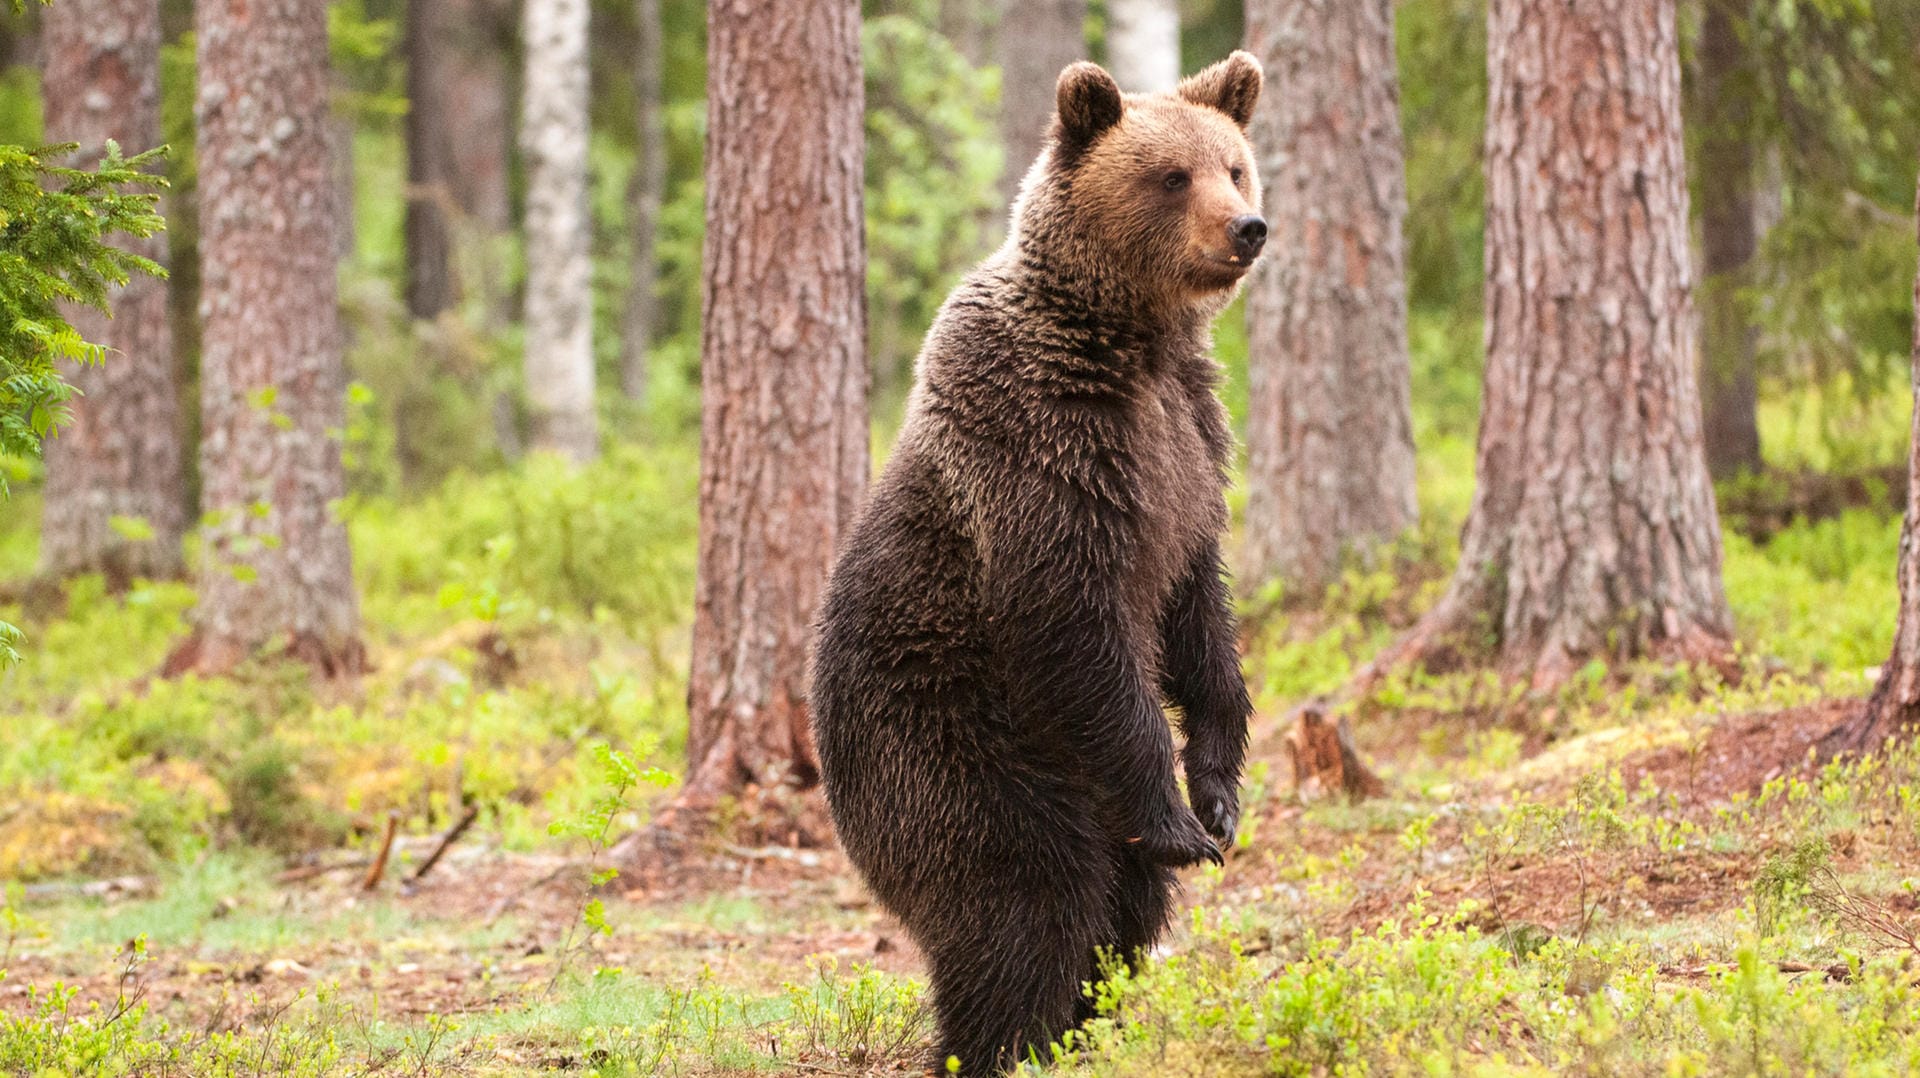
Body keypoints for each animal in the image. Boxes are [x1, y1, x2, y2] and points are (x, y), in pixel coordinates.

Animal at [806, 52, 1259, 1076]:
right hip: (954, 745)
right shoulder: (1047, 449)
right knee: (1027, 904)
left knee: (1119, 915)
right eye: (1172, 176)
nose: (1248, 229)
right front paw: (1179, 819)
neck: (1129, 339)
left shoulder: (1190, 447)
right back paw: (1000, 1041)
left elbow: (1200, 614)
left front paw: (1217, 796)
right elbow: (1077, 624)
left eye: (1236, 166)